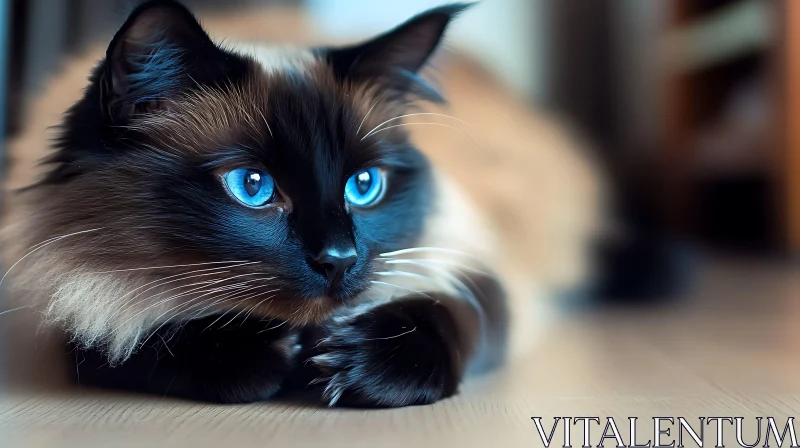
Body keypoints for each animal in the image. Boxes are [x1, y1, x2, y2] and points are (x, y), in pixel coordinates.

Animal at [0, 0, 604, 406]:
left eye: (364, 186)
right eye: (253, 186)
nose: (338, 259)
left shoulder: (468, 264)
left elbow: (451, 312)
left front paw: (350, 366)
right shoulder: (69, 295)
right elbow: (125, 336)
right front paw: (272, 354)